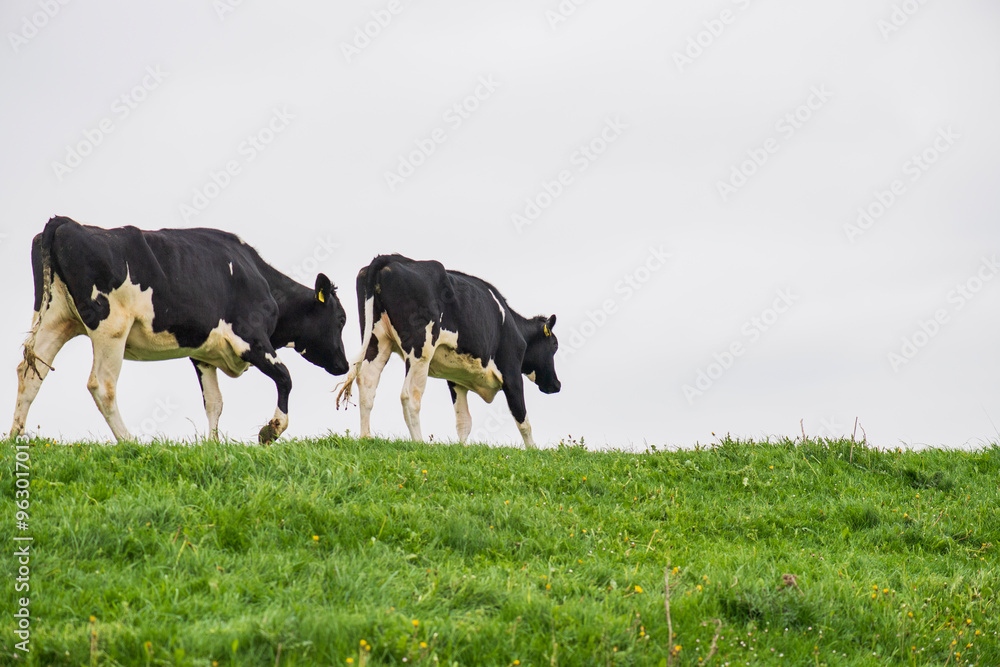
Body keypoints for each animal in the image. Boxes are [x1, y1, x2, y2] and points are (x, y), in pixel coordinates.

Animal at [9, 216, 350, 444]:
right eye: (341, 319)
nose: (344, 365)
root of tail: (66, 222)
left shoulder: (203, 354)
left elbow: (214, 402)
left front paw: (213, 446)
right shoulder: (251, 340)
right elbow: (285, 377)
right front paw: (271, 430)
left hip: (56, 320)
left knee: (30, 373)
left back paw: (14, 438)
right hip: (111, 326)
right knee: (101, 385)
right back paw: (129, 442)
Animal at [335, 254, 560, 448]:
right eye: (555, 346)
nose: (557, 385)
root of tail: (389, 258)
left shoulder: (455, 378)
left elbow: (464, 421)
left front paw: (463, 448)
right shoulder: (511, 372)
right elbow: (522, 418)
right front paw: (533, 451)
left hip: (377, 340)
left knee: (367, 382)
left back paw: (366, 437)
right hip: (420, 350)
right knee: (409, 395)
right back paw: (419, 442)